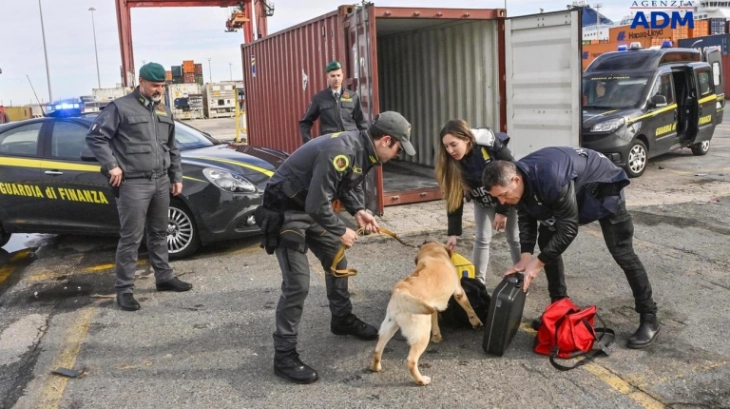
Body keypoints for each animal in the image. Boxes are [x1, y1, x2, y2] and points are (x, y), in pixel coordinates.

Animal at [370, 241, 484, 384]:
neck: (433, 253)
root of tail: (401, 291)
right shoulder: (459, 291)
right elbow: (470, 309)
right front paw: (476, 322)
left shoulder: (432, 306)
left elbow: (435, 321)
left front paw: (437, 336)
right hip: (421, 334)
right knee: (411, 361)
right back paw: (421, 381)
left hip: (389, 327)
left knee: (377, 350)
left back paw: (375, 367)